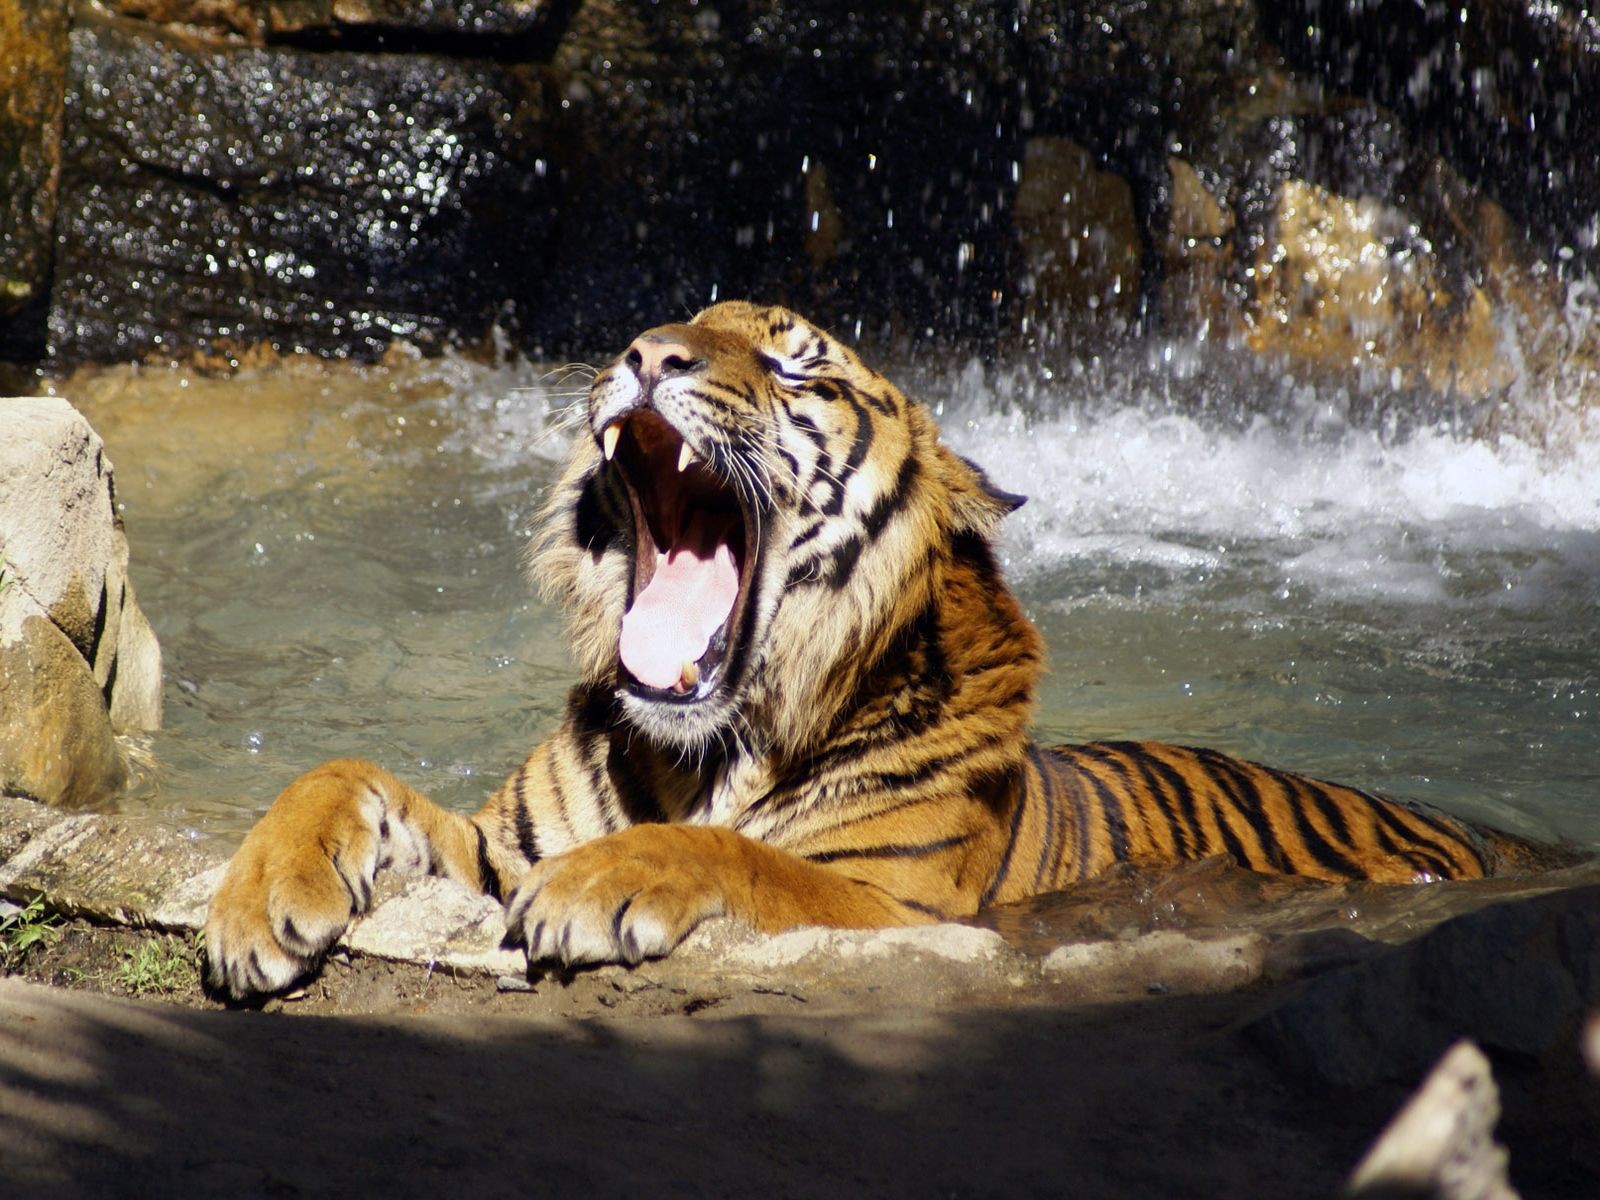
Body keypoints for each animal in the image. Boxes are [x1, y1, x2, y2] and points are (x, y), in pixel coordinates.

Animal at [204, 300, 1540, 1000]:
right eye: (676, 322)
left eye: (793, 360)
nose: (645, 353)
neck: (705, 750)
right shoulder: (495, 846)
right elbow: (338, 774)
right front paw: (256, 905)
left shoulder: (898, 905)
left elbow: (741, 857)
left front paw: (600, 888)